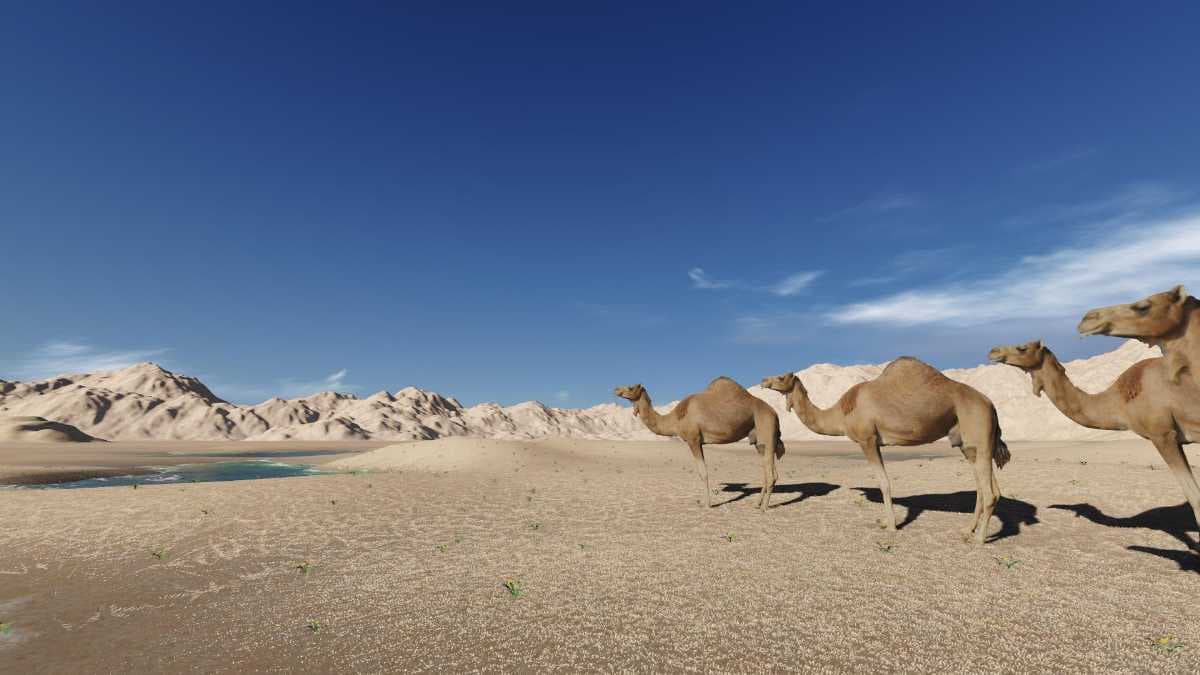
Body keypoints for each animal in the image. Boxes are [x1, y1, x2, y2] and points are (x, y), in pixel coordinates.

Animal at [614, 377, 784, 510]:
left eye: (630, 387)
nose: (616, 389)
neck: (675, 418)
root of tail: (775, 413)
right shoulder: (699, 443)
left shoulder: (693, 440)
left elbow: (703, 472)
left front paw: (707, 504)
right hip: (758, 440)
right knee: (768, 470)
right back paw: (757, 503)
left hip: (766, 428)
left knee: (771, 473)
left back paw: (764, 507)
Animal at [760, 358, 1010, 544]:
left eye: (781, 377)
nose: (763, 380)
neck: (842, 411)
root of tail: (991, 405)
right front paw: (886, 522)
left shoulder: (868, 440)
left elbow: (883, 483)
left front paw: (890, 525)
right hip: (969, 445)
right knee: (986, 488)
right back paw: (967, 530)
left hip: (978, 431)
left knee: (989, 492)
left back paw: (979, 539)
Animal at [989, 340, 1200, 539]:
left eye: (1022, 348)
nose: (993, 351)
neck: (1120, 401)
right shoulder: (1173, 438)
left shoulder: (1163, 435)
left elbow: (1194, 497)